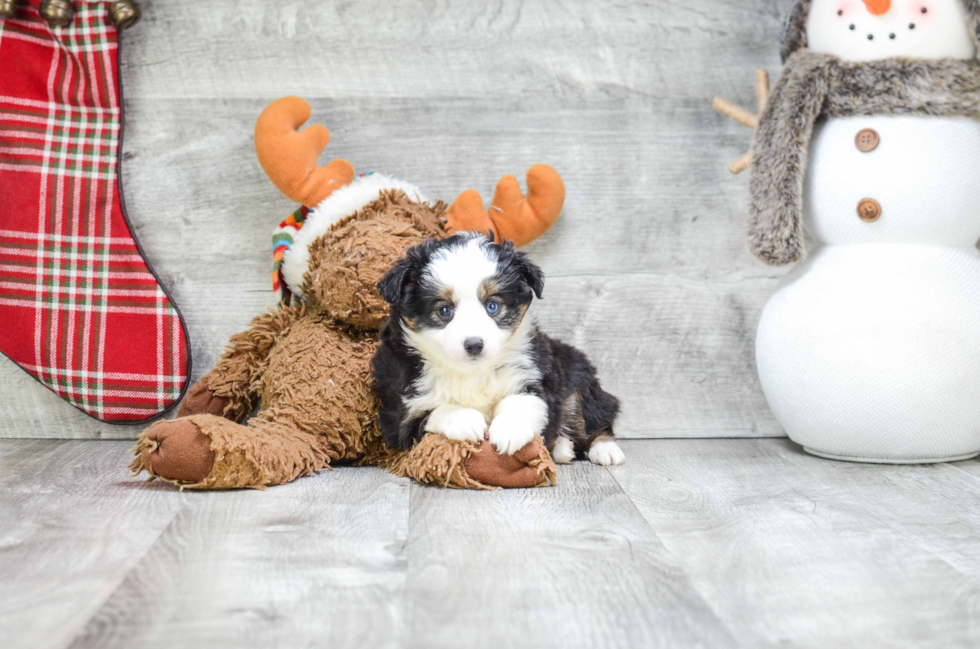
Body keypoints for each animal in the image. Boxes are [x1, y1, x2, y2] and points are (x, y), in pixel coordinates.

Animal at [372, 230, 624, 464]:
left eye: (492, 306)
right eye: (444, 310)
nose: (474, 345)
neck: (471, 372)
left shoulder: (533, 376)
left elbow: (520, 402)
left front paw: (510, 431)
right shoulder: (400, 414)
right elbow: (435, 410)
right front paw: (466, 419)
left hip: (577, 377)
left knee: (593, 417)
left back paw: (605, 450)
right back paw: (563, 448)